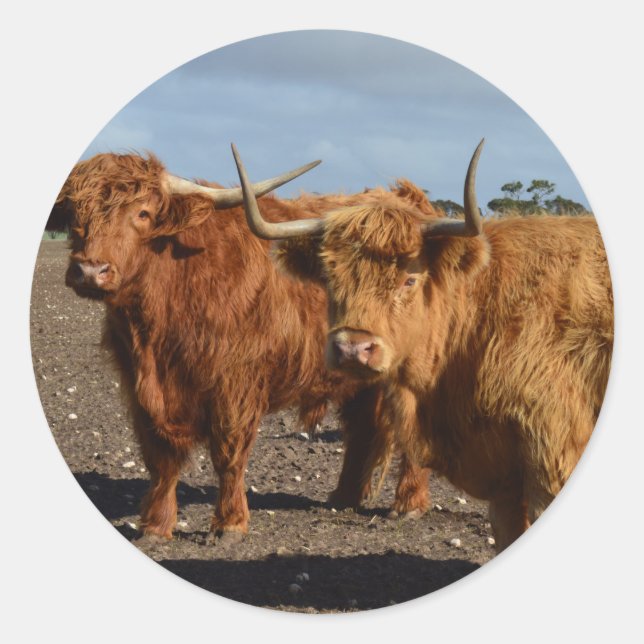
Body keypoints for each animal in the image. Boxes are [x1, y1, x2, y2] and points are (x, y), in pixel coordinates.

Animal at [56, 151, 431, 544]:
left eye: (142, 213)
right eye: (74, 213)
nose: (89, 270)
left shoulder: (235, 385)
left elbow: (228, 454)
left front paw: (230, 524)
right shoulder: (140, 388)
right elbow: (161, 459)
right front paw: (155, 526)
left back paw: (409, 503)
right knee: (361, 429)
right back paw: (343, 497)